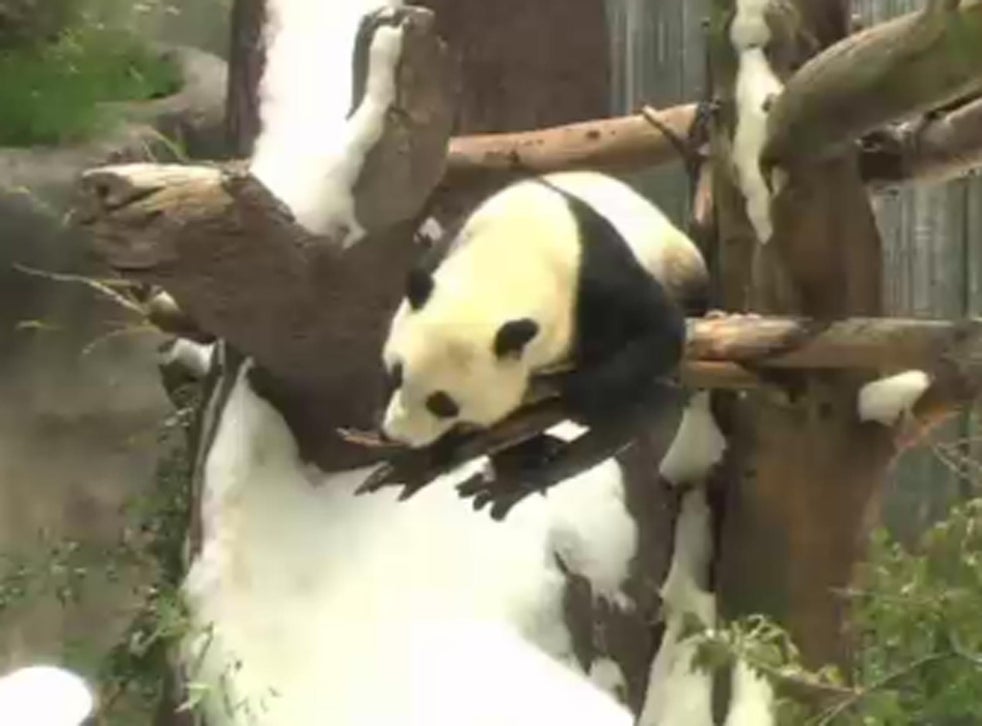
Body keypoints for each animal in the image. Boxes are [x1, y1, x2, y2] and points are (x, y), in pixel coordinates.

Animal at [376, 171, 708, 452]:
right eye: (396, 374)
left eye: (443, 403)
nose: (396, 436)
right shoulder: (453, 241)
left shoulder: (593, 277)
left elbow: (661, 329)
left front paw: (579, 389)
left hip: (674, 257)